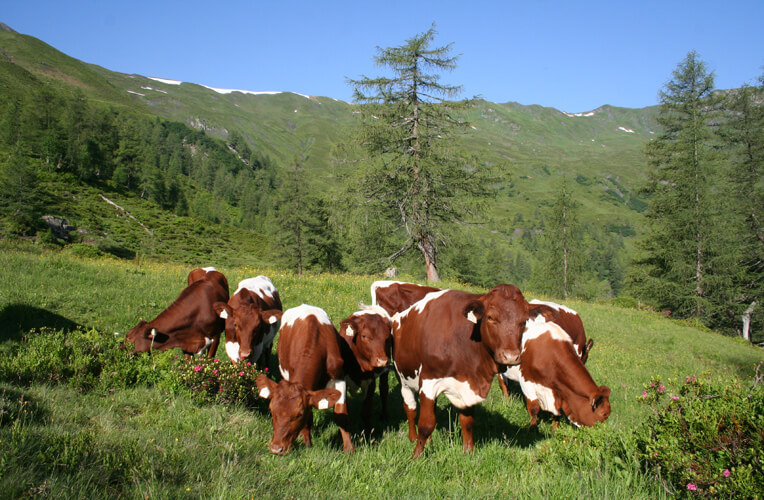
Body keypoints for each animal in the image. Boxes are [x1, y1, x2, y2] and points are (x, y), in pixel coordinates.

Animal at [255, 302, 354, 456]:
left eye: (299, 415)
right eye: (271, 410)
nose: (276, 448)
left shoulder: (339, 376)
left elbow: (341, 414)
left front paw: (349, 449)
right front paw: (307, 443)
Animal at [338, 306, 390, 436]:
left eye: (387, 337)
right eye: (364, 336)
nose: (382, 361)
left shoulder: (371, 381)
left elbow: (366, 411)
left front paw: (368, 434)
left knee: (384, 389)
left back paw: (384, 415)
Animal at [390, 286, 528, 458]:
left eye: (524, 321)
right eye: (490, 317)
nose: (510, 356)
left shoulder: (467, 387)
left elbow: (467, 422)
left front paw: (468, 452)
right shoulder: (429, 381)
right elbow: (426, 424)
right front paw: (416, 456)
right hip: (404, 378)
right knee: (411, 409)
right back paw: (413, 437)